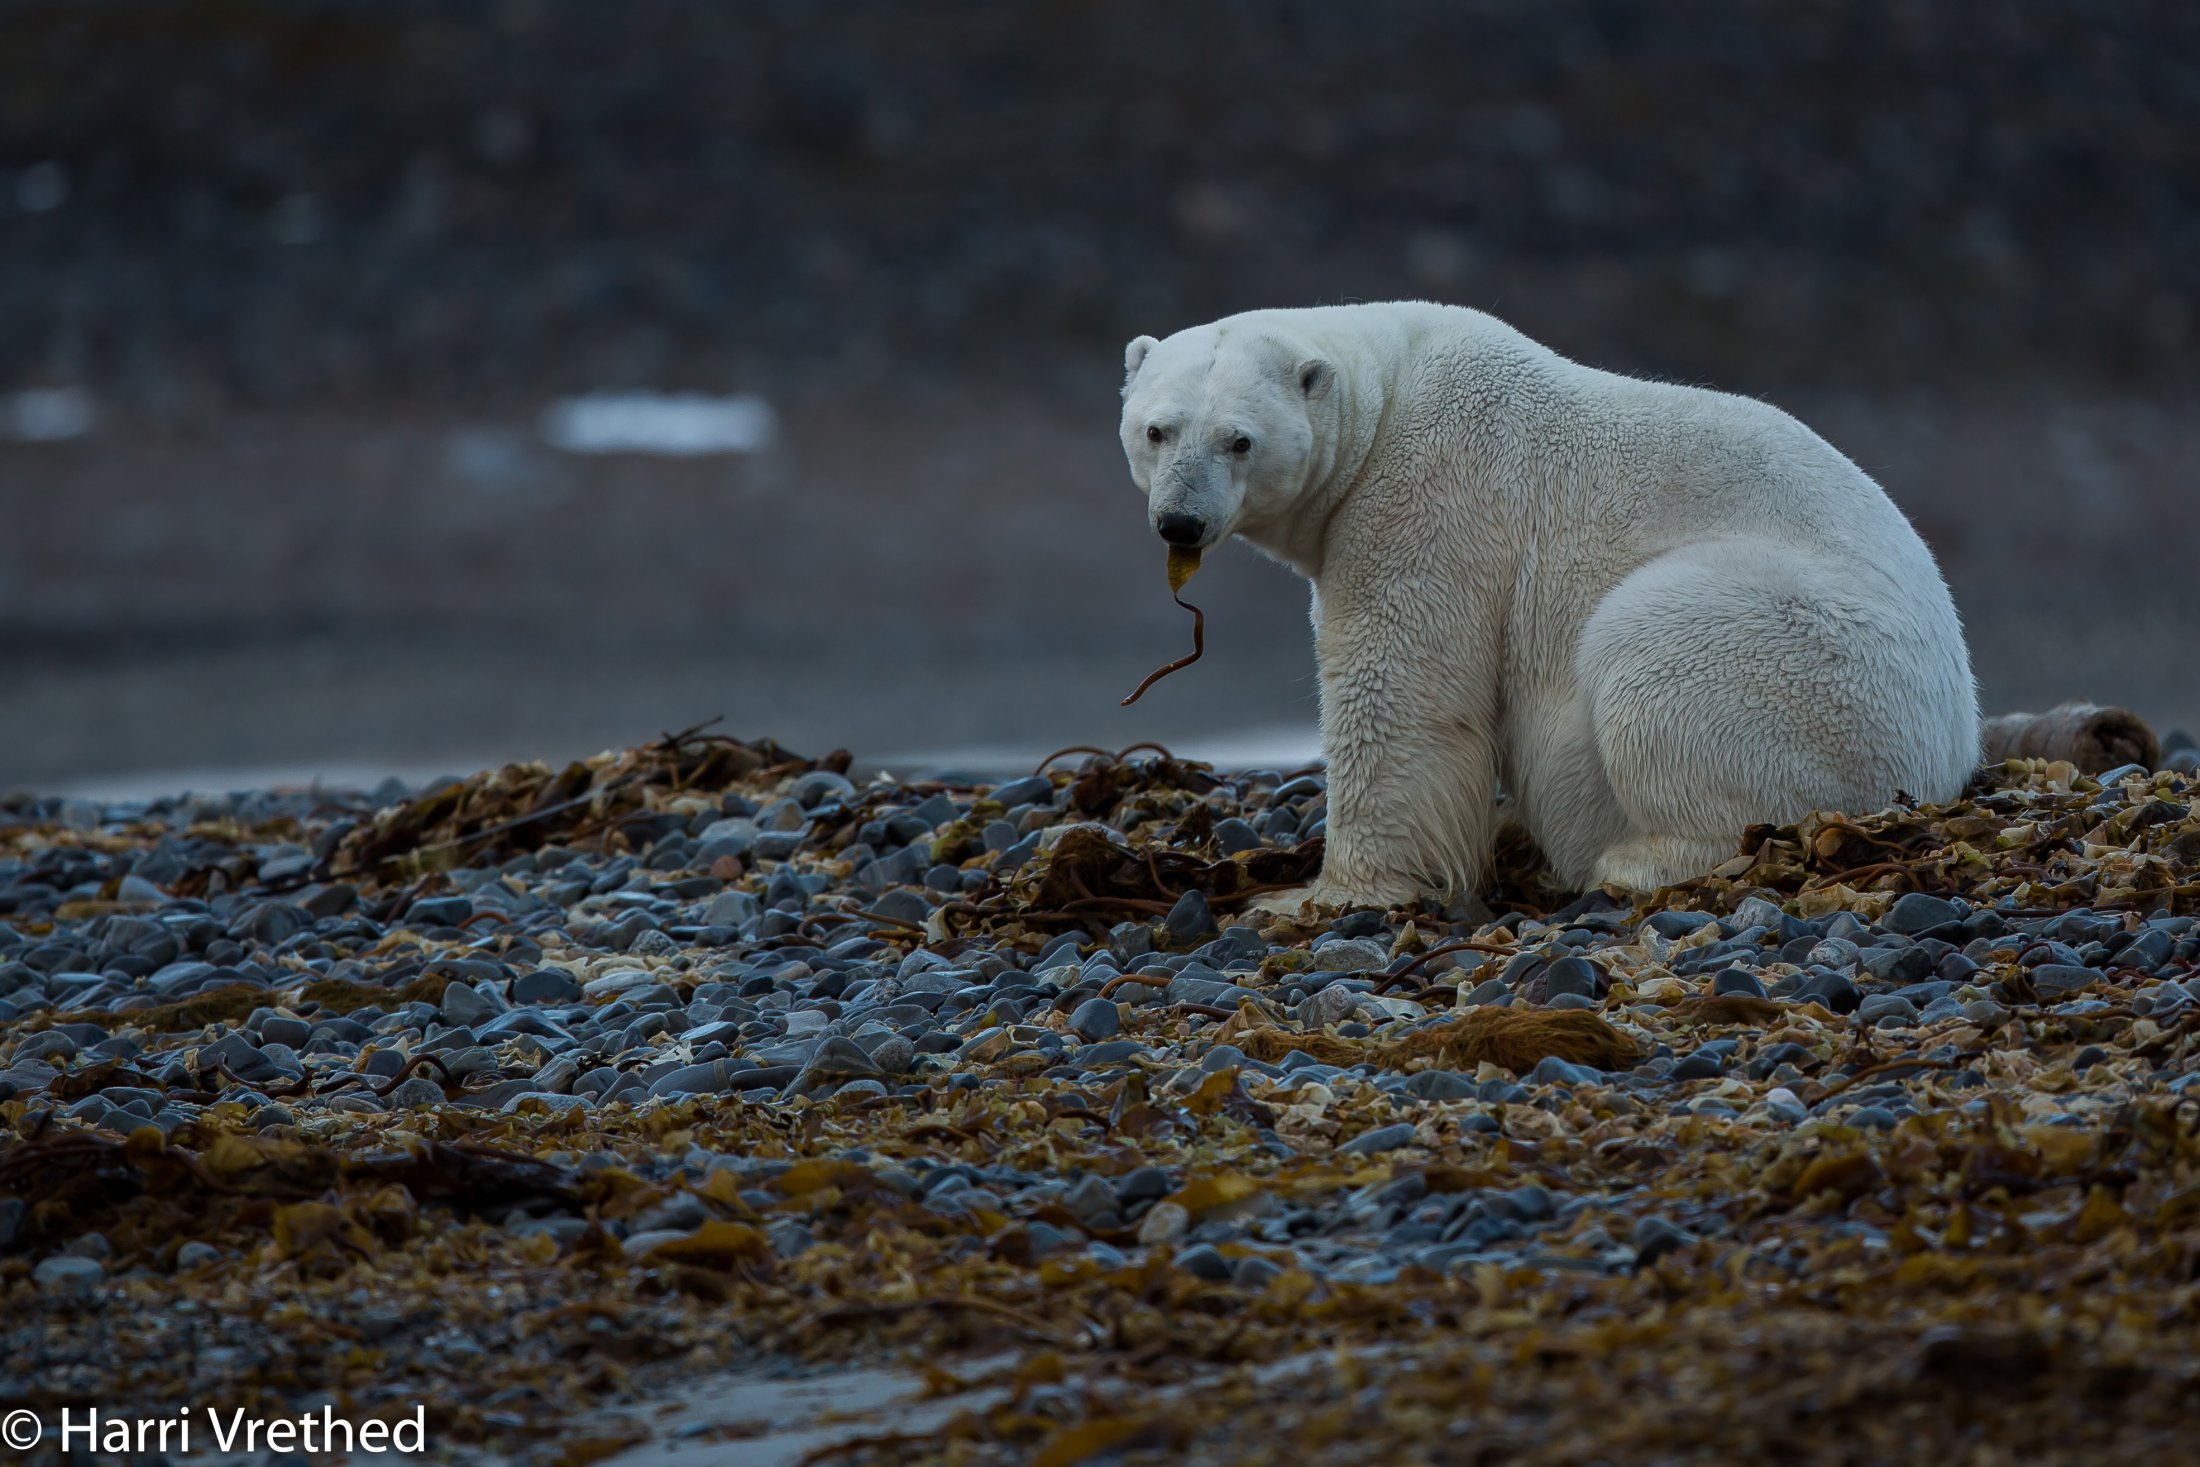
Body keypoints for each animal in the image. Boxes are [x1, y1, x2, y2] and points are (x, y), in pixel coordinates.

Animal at [1117, 303, 1980, 910]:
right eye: (1157, 429)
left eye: (1240, 440)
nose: (1180, 522)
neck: (1390, 387)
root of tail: (1952, 746)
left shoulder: (1430, 497)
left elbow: (1401, 692)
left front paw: (1320, 893)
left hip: (1817, 661)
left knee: (1651, 650)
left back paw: (1638, 859)